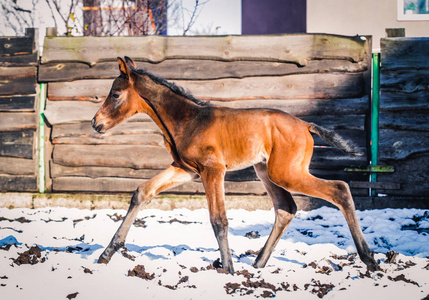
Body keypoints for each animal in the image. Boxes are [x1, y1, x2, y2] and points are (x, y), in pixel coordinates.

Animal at [91, 56, 378, 274]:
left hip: (286, 173)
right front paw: (107, 253)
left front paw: (227, 268)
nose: (95, 123)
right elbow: (142, 192)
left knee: (340, 189)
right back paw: (258, 263)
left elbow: (218, 218)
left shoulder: (213, 170)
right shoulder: (186, 169)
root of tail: (306, 125)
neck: (188, 120)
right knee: (286, 208)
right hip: (266, 171)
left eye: (115, 94)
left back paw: (369, 259)